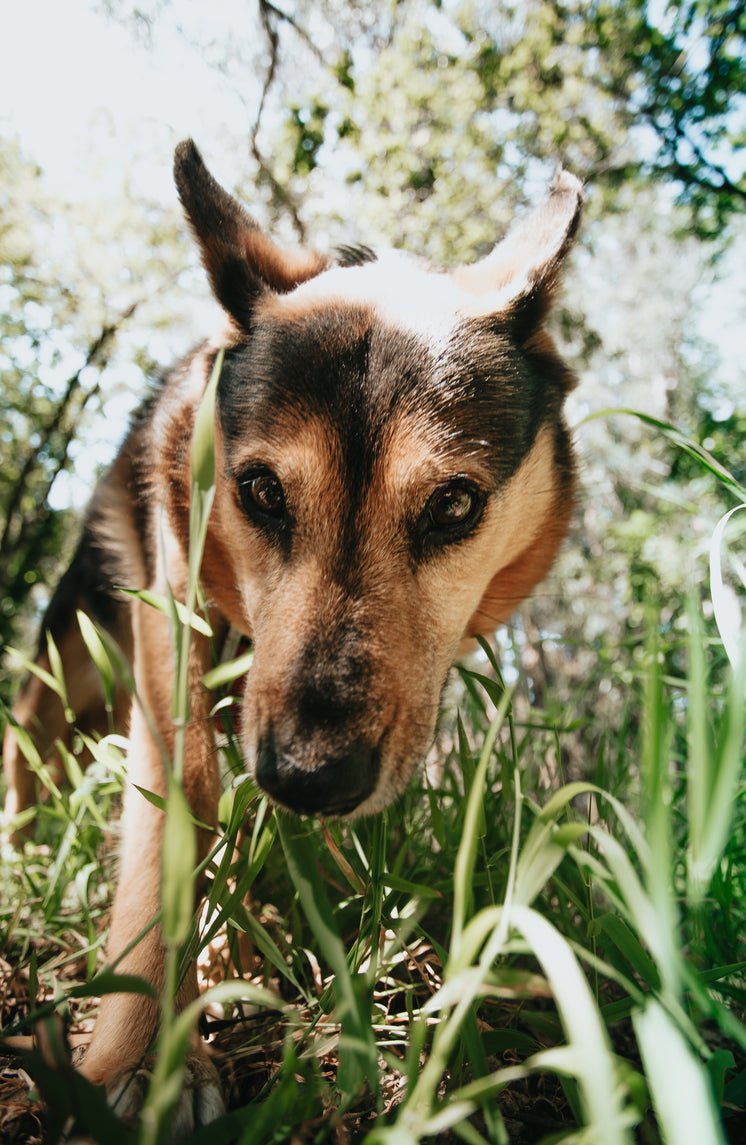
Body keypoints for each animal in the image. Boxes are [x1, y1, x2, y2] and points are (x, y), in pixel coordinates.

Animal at [1, 138, 583, 1131]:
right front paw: (143, 1047)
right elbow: (176, 815)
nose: (310, 776)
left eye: (454, 504)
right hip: (64, 665)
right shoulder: (174, 638)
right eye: (262, 491)